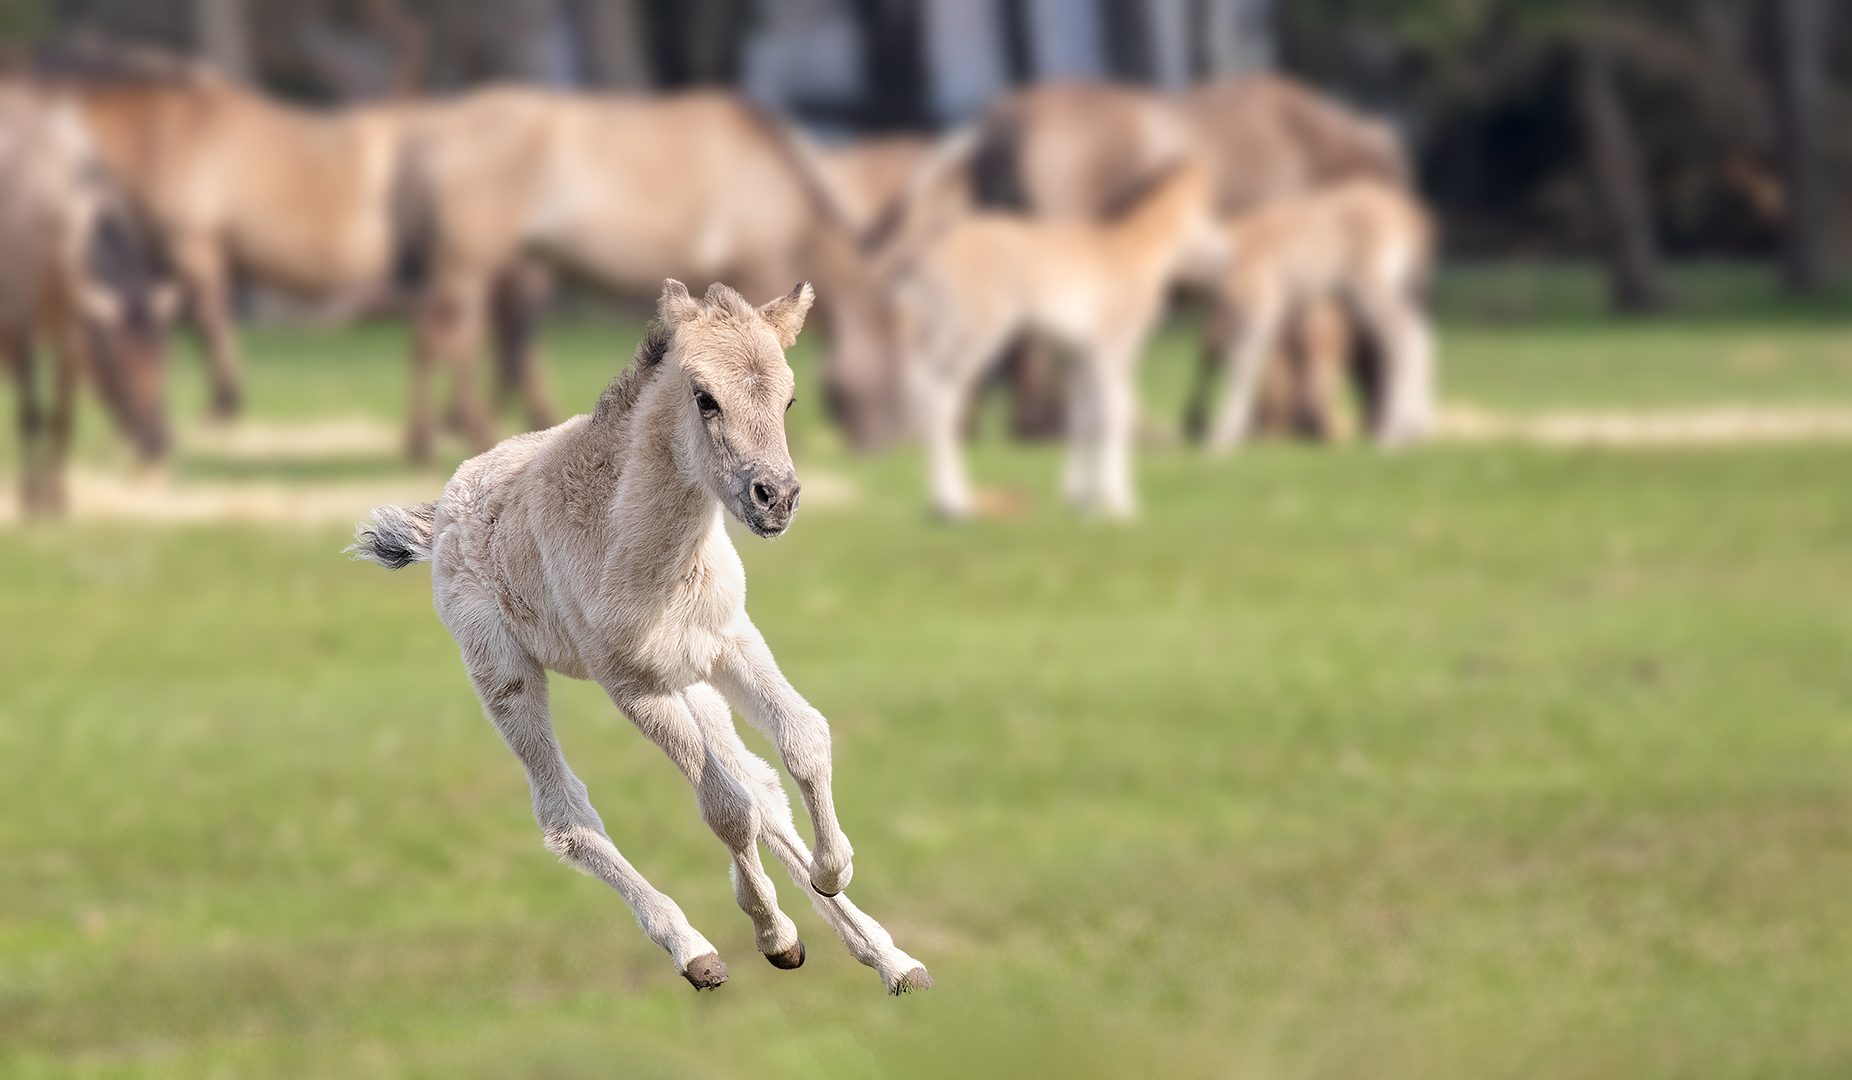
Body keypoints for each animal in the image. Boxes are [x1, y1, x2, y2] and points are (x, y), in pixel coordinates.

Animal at [0, 86, 176, 518]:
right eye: (117, 359)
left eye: (165, 354)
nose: (157, 440)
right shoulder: (20, 321)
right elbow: (30, 413)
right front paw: (30, 497)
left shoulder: (71, 338)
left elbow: (62, 416)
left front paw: (57, 497)